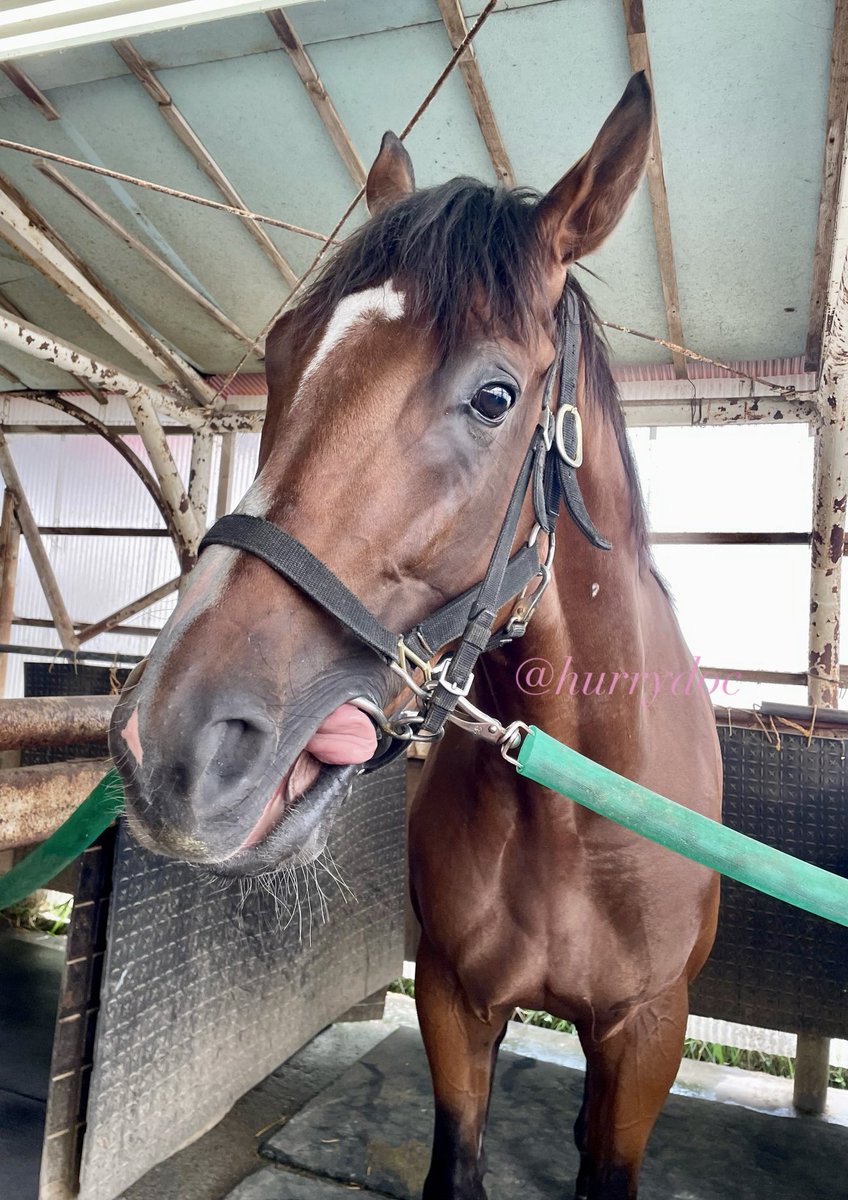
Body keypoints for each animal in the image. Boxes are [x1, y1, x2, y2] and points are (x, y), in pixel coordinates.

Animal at [110, 72, 721, 1200]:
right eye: (281, 355)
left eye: (494, 396)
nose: (167, 747)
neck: (569, 808)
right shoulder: (449, 1001)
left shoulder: (648, 1036)